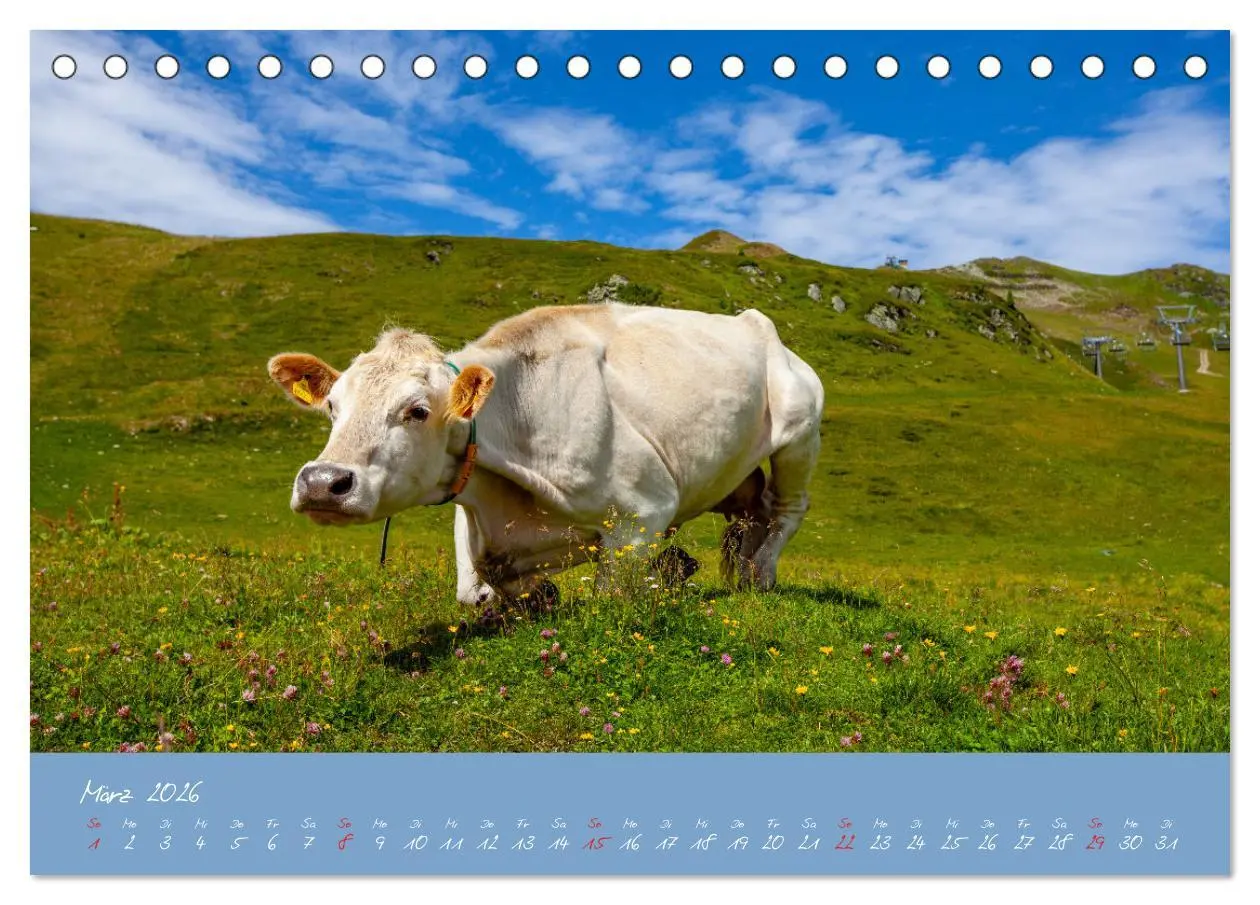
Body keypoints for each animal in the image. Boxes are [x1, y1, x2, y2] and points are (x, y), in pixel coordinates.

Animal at [268, 303, 824, 606]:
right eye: (333, 406)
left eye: (418, 410)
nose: (321, 483)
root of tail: (756, 325)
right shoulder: (473, 506)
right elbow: (473, 589)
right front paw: (536, 596)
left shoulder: (645, 509)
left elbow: (611, 597)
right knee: (751, 516)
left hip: (800, 431)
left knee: (785, 510)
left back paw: (760, 575)